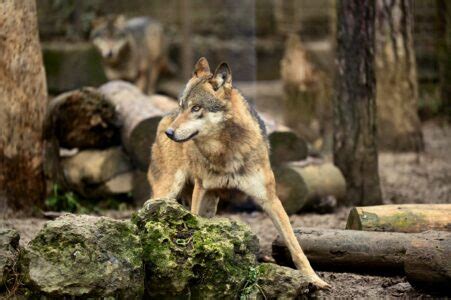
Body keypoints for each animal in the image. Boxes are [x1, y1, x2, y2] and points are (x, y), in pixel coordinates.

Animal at [150, 57, 330, 290]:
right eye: (182, 106)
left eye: (196, 108)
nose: (169, 133)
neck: (226, 151)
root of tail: (164, 117)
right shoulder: (201, 189)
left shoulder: (269, 198)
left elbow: (295, 246)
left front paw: (315, 280)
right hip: (169, 191)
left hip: (209, 204)